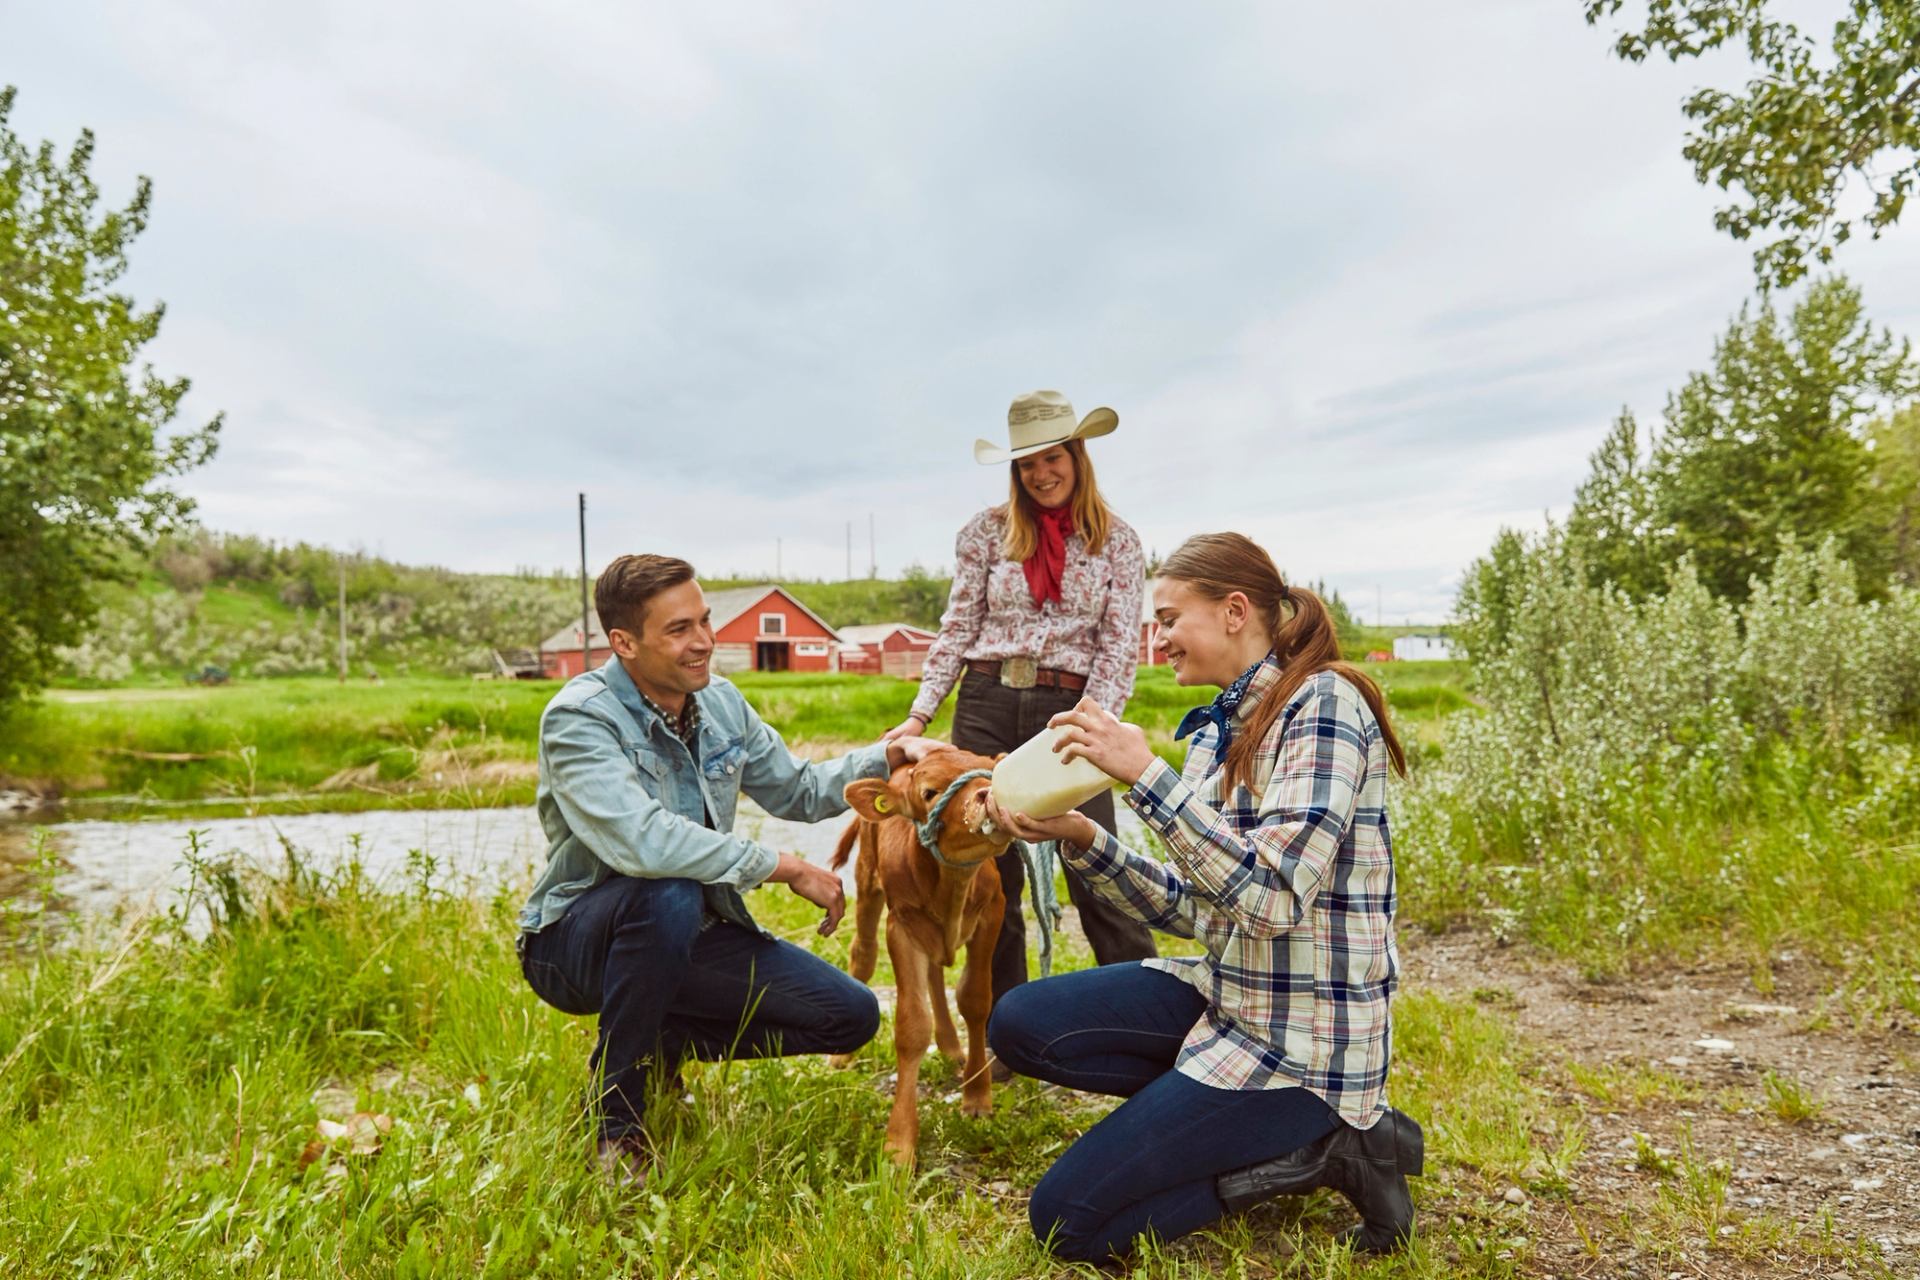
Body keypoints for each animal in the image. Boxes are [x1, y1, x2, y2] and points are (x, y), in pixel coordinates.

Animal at [833, 752, 1013, 1159]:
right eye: (930, 792)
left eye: (992, 771)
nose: (986, 795)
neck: (952, 886)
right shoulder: (901, 927)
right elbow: (912, 1026)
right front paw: (899, 1143)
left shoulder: (993, 911)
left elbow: (975, 1000)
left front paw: (977, 1097)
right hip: (867, 884)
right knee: (863, 955)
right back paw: (842, 1057)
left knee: (934, 972)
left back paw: (951, 1047)